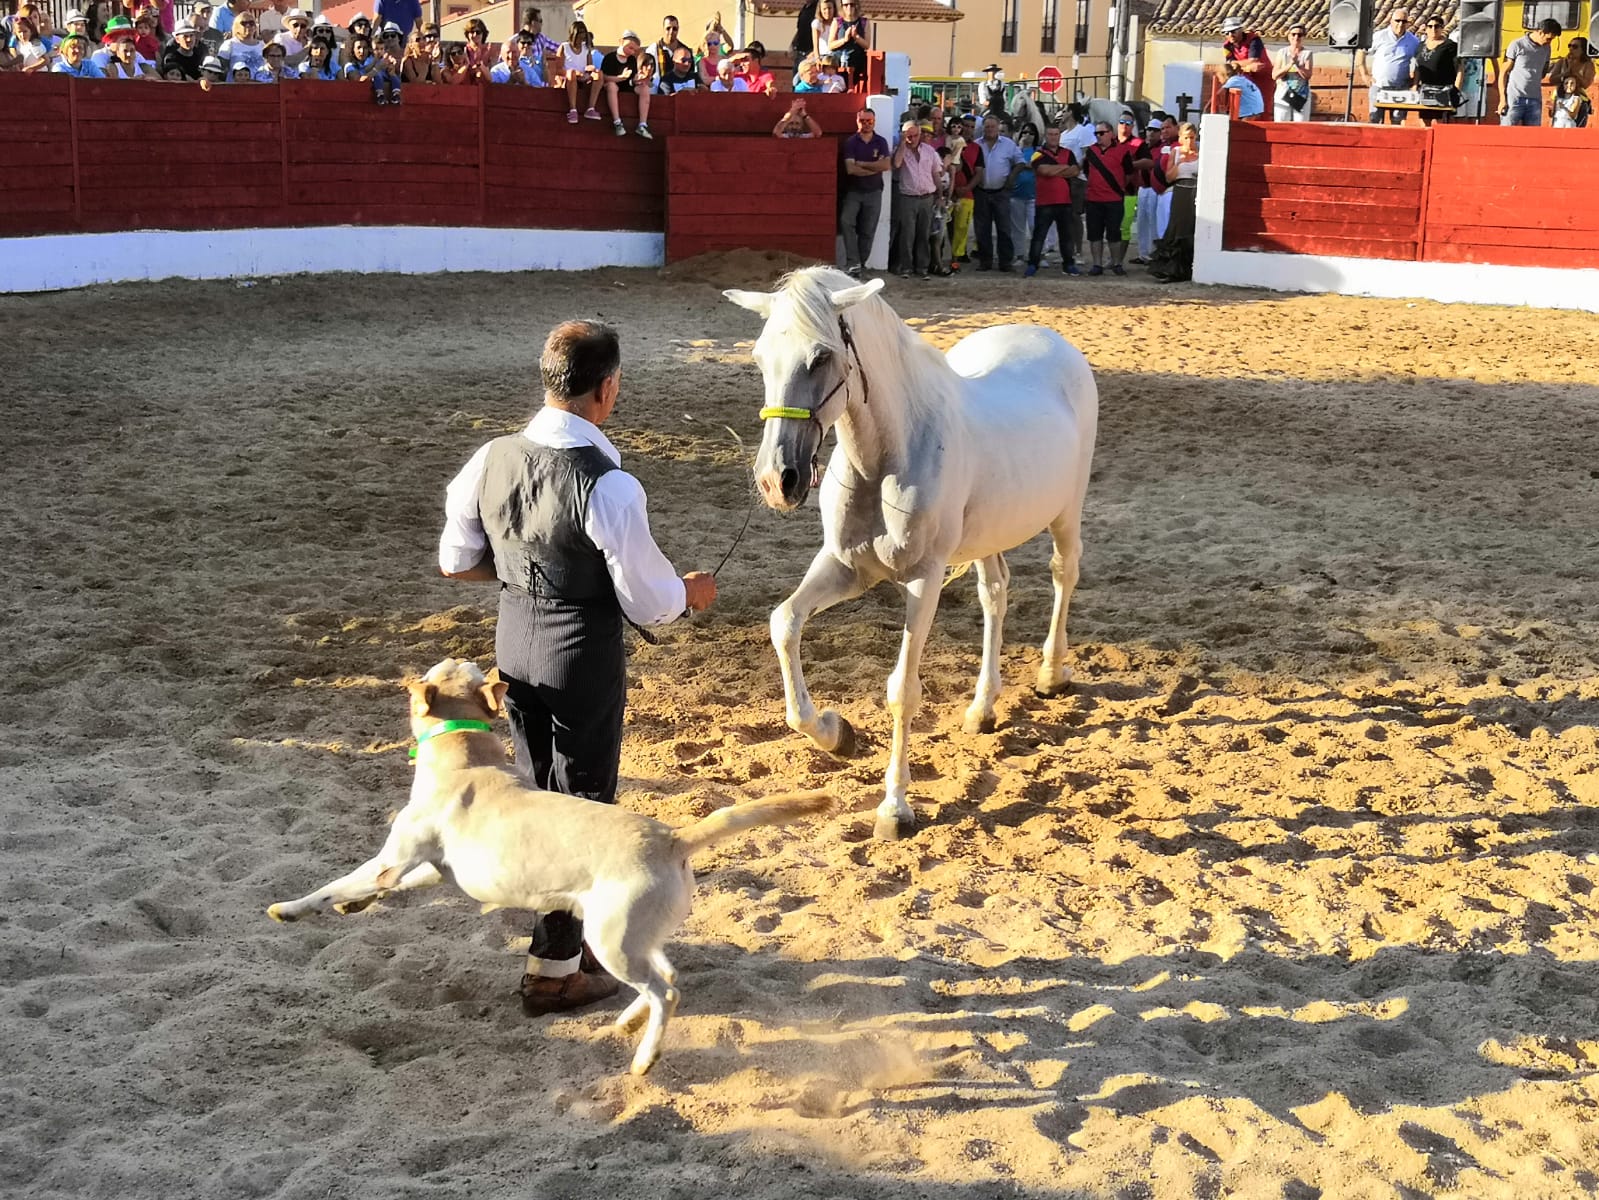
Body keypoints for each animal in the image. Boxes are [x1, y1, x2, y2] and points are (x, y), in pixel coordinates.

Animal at [725, 267, 1100, 838]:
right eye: (760, 357)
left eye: (821, 357)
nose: (777, 481)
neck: (887, 458)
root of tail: (1051, 339)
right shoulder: (844, 568)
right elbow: (784, 624)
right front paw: (837, 733)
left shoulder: (924, 578)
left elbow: (903, 689)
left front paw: (894, 809)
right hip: (987, 536)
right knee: (995, 594)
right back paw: (982, 709)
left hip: (1066, 512)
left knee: (1064, 572)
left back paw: (1051, 675)